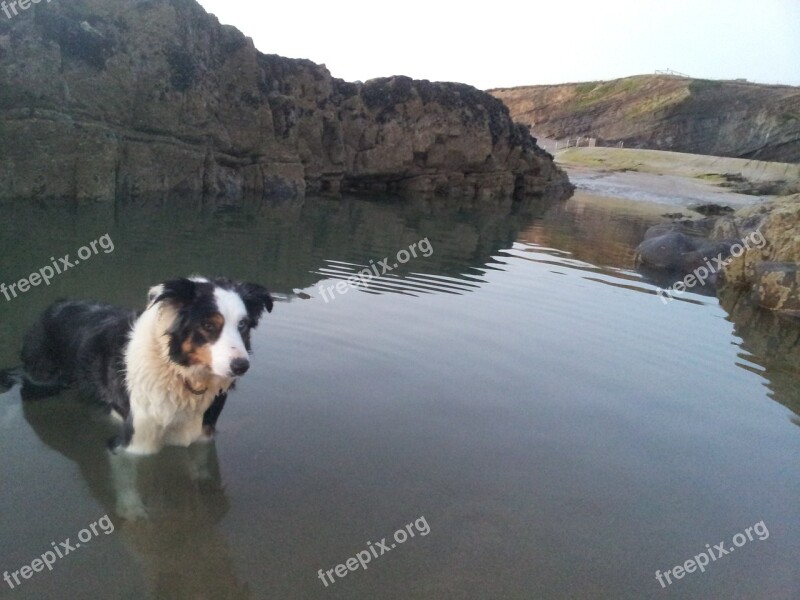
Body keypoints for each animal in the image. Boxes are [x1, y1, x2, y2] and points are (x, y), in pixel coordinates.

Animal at [12, 276, 274, 454]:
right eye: (209, 326)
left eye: (243, 325)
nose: (241, 366)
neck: (177, 373)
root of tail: (48, 309)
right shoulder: (133, 444)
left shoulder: (202, 436)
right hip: (42, 383)